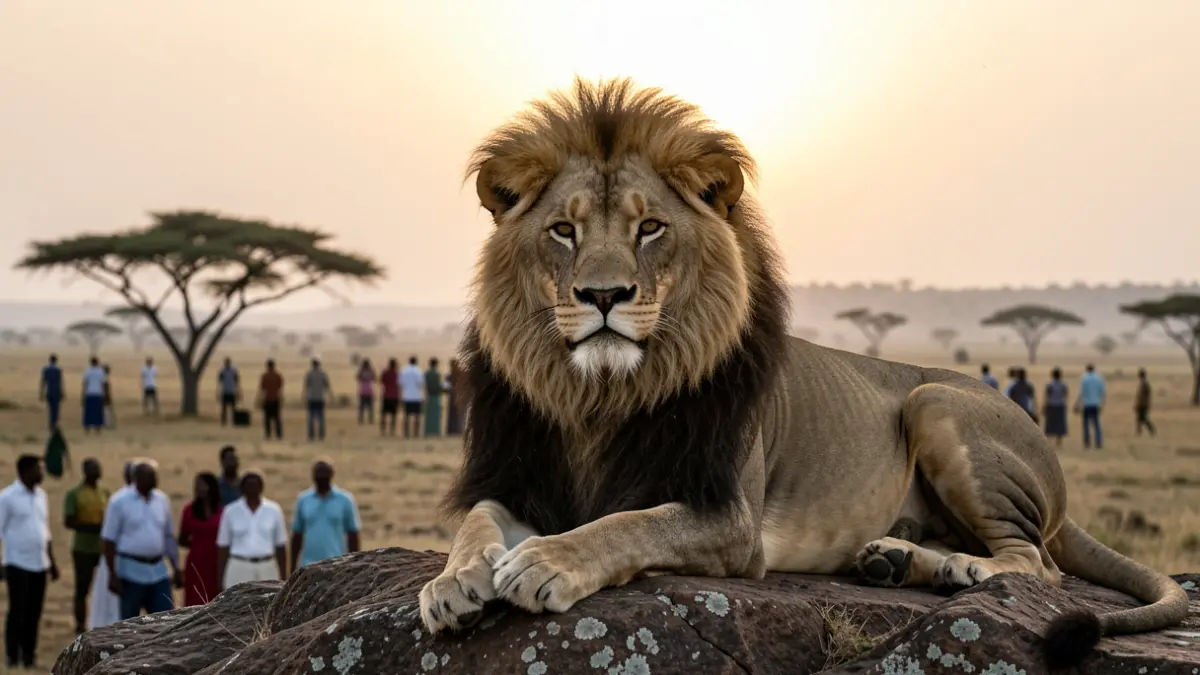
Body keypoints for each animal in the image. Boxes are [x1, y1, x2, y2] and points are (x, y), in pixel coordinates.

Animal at [418, 77, 1188, 668]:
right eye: (564, 231)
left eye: (650, 228)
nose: (603, 295)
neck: (601, 396)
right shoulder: (523, 479)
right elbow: (477, 524)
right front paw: (452, 584)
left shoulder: (730, 518)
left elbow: (626, 525)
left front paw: (545, 563)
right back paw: (895, 559)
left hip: (935, 402)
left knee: (1038, 564)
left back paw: (956, 568)